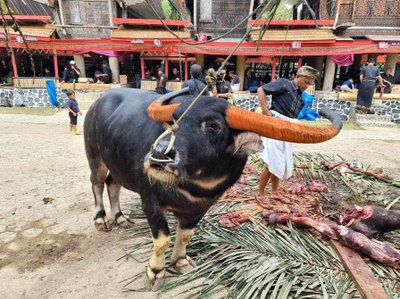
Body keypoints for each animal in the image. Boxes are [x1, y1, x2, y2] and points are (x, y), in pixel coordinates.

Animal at [83, 88, 342, 288]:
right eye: (174, 120)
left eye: (214, 125)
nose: (158, 154)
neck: (196, 184)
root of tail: (98, 102)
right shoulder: (150, 201)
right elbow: (163, 239)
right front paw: (155, 272)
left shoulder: (201, 207)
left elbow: (185, 235)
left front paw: (181, 261)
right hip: (94, 155)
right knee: (97, 183)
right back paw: (101, 219)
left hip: (116, 162)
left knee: (113, 184)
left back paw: (120, 217)